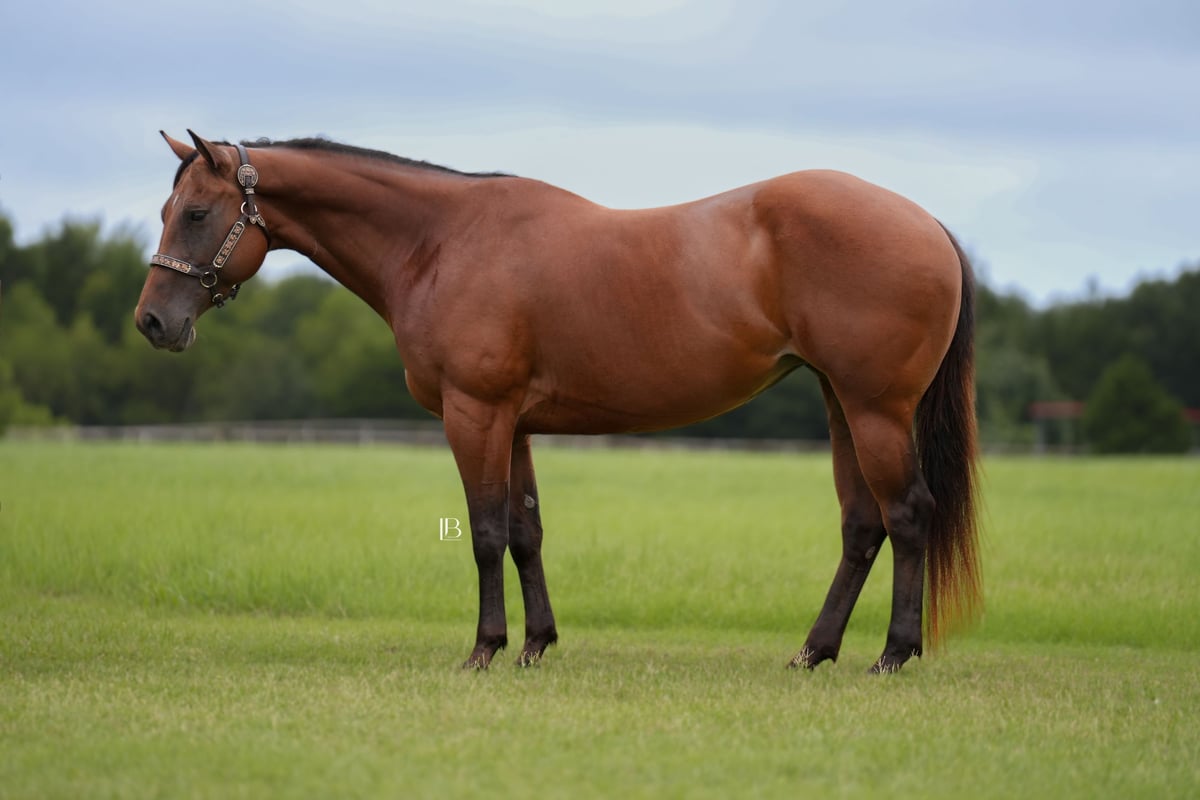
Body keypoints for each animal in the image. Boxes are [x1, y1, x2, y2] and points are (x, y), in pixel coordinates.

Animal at [135, 130, 981, 673]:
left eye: (199, 213)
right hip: (841, 404)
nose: (152, 323)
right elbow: (525, 532)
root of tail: (927, 224)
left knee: (907, 514)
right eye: (167, 212)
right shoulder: (513, 423)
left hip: (875, 409)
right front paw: (536, 644)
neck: (441, 242)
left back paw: (892, 654)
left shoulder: (474, 413)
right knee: (862, 525)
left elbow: (483, 533)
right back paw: (814, 651)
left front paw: (484, 649)